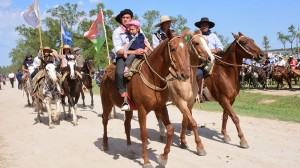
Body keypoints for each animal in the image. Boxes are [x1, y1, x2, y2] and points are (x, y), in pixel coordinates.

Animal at [101, 28, 190, 167]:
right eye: (173, 49)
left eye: (186, 49)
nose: (184, 74)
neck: (152, 77)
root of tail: (104, 74)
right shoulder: (142, 109)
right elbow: (143, 134)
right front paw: (146, 161)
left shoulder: (161, 107)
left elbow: (170, 129)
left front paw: (163, 158)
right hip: (106, 102)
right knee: (105, 120)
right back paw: (105, 144)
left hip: (129, 109)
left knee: (127, 125)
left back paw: (130, 150)